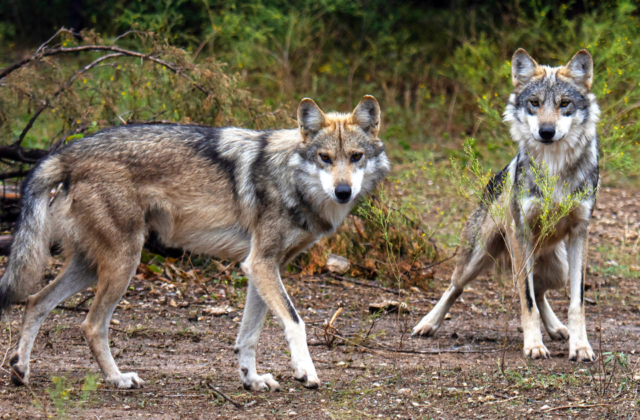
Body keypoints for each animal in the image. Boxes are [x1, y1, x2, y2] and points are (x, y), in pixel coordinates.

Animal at [0, 95, 389, 390]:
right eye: (325, 158)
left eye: (356, 157)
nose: (343, 191)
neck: (291, 178)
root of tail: (65, 153)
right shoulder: (261, 264)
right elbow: (296, 322)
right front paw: (306, 372)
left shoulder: (260, 267)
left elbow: (248, 336)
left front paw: (251, 380)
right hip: (124, 262)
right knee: (91, 325)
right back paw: (118, 379)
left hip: (91, 267)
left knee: (35, 301)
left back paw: (21, 370)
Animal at [413, 49, 599, 362]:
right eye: (534, 103)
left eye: (564, 104)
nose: (546, 131)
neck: (554, 165)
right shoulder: (520, 232)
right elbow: (527, 299)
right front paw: (534, 345)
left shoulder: (579, 233)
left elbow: (577, 303)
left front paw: (581, 346)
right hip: (480, 257)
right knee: (455, 286)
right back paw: (428, 323)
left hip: (557, 268)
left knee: (541, 289)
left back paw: (557, 329)